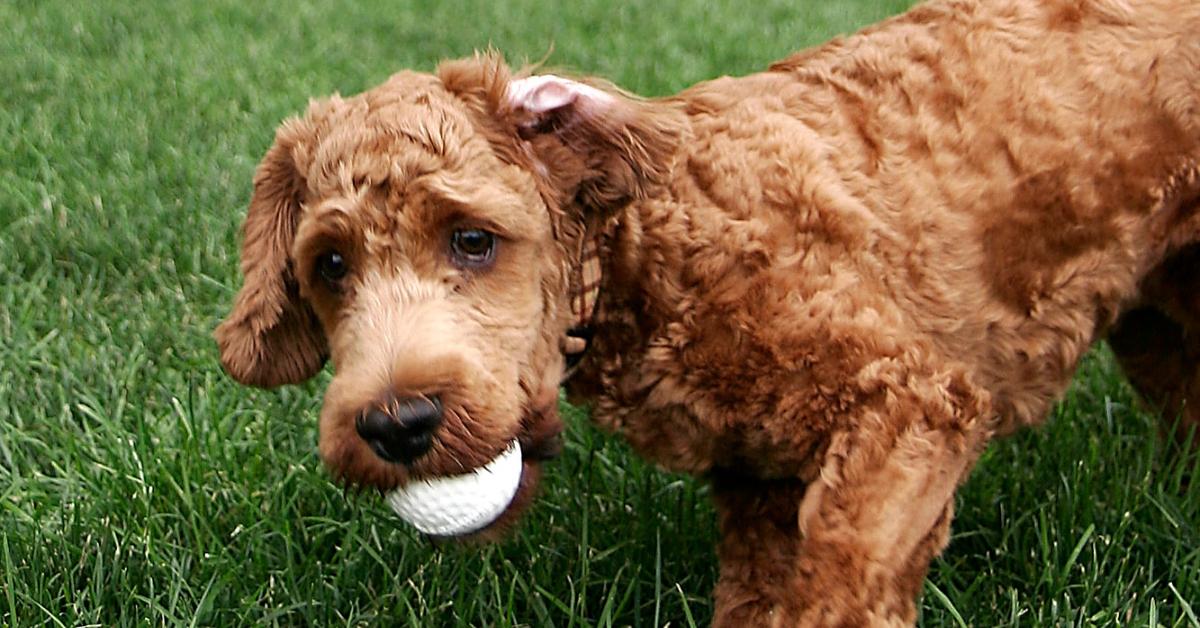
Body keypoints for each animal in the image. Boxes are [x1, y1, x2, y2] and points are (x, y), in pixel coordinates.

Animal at [216, 0, 1200, 624]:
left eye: (472, 240)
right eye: (330, 265)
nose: (398, 423)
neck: (648, 248)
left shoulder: (910, 402)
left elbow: (841, 579)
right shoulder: (763, 483)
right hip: (1162, 318)